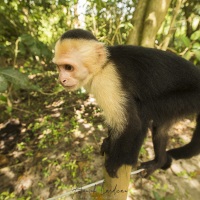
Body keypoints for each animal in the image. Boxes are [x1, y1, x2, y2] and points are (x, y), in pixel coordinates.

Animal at [52, 28, 200, 177]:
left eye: (68, 67)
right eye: (59, 67)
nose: (61, 79)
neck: (103, 66)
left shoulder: (106, 80)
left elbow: (130, 124)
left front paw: (115, 162)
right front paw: (109, 143)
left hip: (189, 98)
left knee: (144, 111)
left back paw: (130, 160)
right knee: (160, 128)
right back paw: (159, 161)